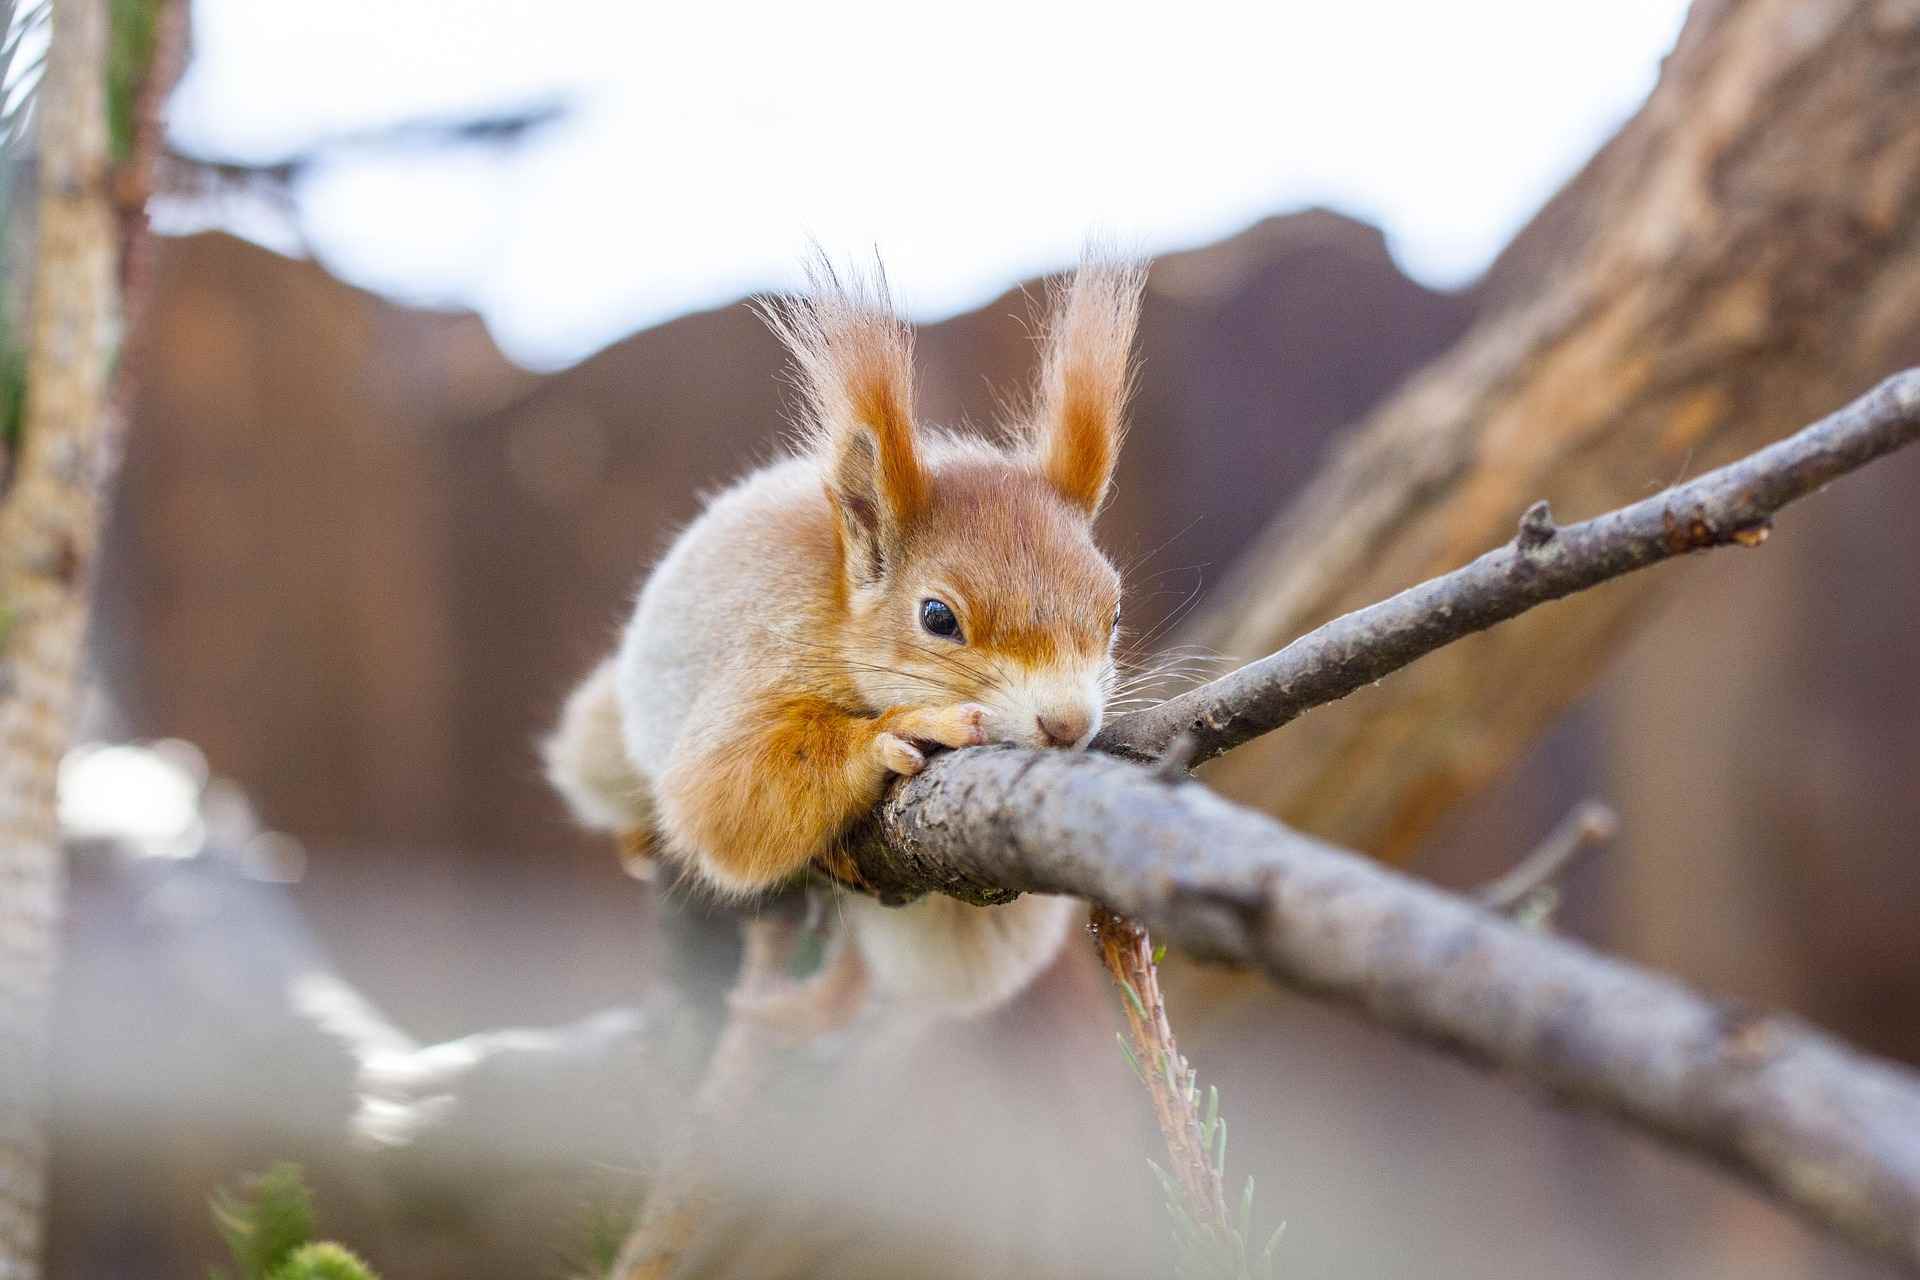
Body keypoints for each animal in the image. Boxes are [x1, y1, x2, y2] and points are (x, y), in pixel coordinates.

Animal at [545, 255, 1136, 1020]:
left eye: (1114, 612)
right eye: (938, 617)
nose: (1067, 724)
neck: (838, 615)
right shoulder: (767, 645)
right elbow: (721, 793)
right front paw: (897, 730)